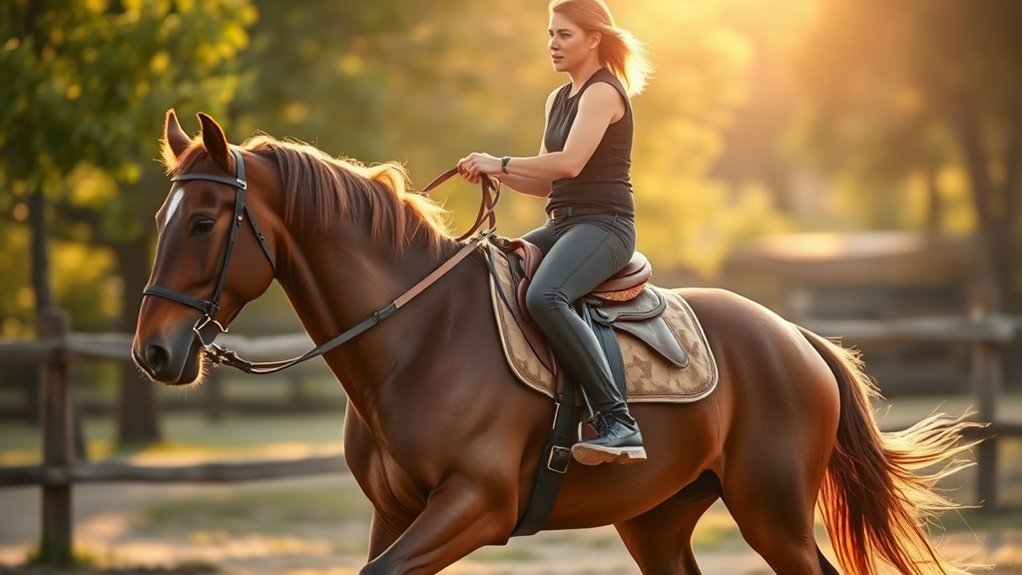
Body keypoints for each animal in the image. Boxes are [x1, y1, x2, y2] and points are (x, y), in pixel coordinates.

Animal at [132, 110, 975, 575]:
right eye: (162, 220)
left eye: (203, 222)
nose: (153, 353)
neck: (416, 339)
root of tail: (794, 337)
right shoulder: (395, 510)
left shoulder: (475, 504)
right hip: (657, 520)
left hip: (773, 512)